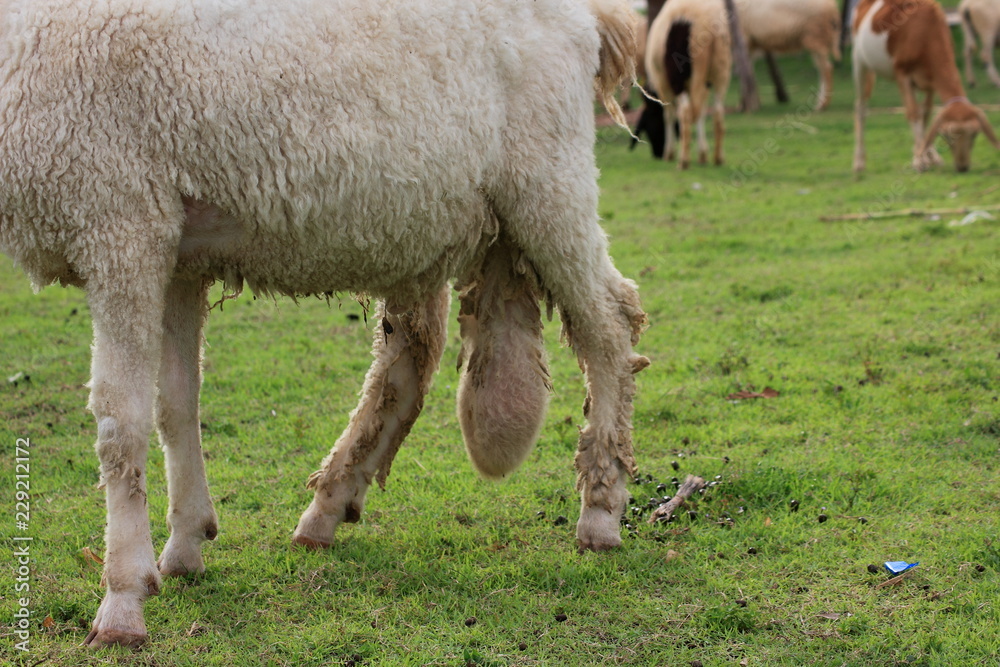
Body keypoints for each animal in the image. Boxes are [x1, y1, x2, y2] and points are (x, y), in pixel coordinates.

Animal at [0, 0, 646, 648]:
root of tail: (591, 18)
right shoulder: (179, 251)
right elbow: (175, 405)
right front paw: (185, 546)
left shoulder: (122, 223)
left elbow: (121, 422)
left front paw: (122, 600)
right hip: (446, 219)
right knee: (407, 362)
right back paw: (328, 508)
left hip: (549, 180)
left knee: (611, 324)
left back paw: (601, 510)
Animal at [645, 0, 732, 169]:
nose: (656, 153)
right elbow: (701, 113)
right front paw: (702, 154)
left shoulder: (663, 83)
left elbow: (668, 115)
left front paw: (669, 153)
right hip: (720, 69)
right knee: (717, 112)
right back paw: (718, 158)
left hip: (677, 77)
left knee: (684, 112)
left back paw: (683, 161)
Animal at [852, 0, 1000, 172]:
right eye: (946, 135)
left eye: (975, 134)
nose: (962, 167)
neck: (924, 32)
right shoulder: (902, 74)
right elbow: (913, 113)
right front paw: (919, 161)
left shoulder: (931, 81)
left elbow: (926, 114)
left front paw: (929, 157)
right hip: (859, 62)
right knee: (861, 107)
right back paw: (859, 162)